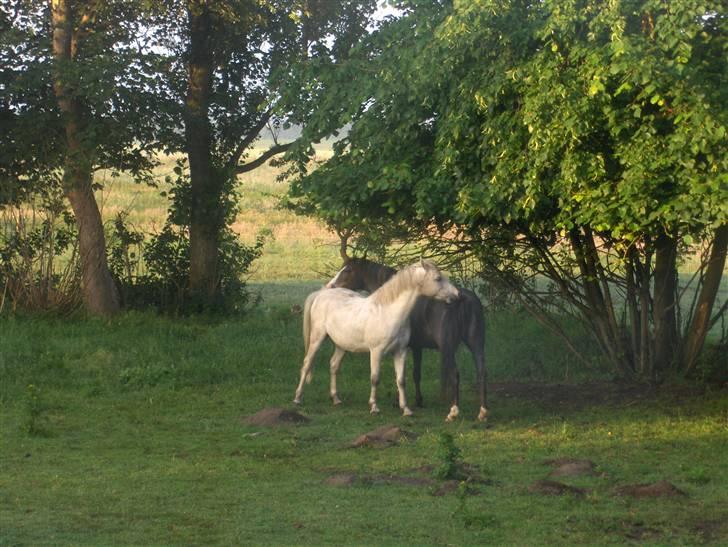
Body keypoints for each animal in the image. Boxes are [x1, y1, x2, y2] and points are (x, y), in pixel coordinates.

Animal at [294, 260, 459, 417]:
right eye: (437, 278)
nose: (457, 294)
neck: (388, 312)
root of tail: (320, 294)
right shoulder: (376, 352)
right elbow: (375, 378)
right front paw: (374, 407)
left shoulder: (400, 352)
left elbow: (401, 380)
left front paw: (406, 409)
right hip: (317, 338)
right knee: (307, 363)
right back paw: (297, 398)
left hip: (342, 345)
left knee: (334, 366)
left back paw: (335, 399)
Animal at [326, 257, 487, 422]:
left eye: (348, 270)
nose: (330, 286)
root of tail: (463, 299)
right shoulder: (417, 348)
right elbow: (415, 374)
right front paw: (416, 401)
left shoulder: (409, 347)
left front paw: (401, 401)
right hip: (477, 345)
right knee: (482, 372)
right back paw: (482, 412)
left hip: (447, 348)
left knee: (455, 374)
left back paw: (453, 412)